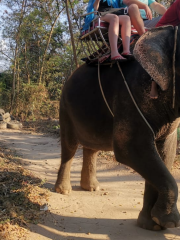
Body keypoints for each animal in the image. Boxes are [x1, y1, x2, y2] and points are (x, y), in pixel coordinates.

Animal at [54, 25, 180, 231]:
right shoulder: (130, 96)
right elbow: (128, 148)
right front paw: (169, 222)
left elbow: (165, 153)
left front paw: (151, 225)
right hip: (65, 107)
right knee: (69, 147)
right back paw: (64, 191)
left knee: (91, 148)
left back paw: (92, 188)